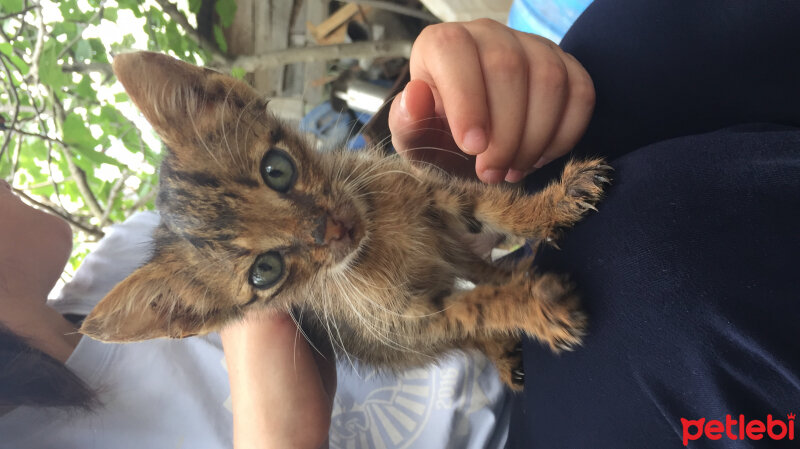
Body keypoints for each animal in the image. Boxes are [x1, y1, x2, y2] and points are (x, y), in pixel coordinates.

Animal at [81, 51, 608, 388]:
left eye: (277, 169)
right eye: (265, 271)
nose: (337, 229)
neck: (376, 241)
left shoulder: (424, 188)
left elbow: (487, 207)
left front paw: (552, 205)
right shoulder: (408, 318)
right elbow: (476, 309)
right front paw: (533, 307)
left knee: (476, 265)